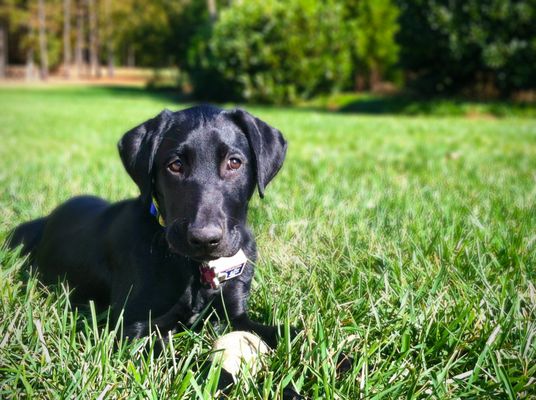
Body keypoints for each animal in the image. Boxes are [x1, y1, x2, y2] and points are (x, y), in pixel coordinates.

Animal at [7, 106, 288, 346]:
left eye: (234, 162)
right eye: (175, 165)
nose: (205, 239)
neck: (195, 269)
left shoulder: (234, 314)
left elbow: (283, 331)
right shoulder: (131, 329)